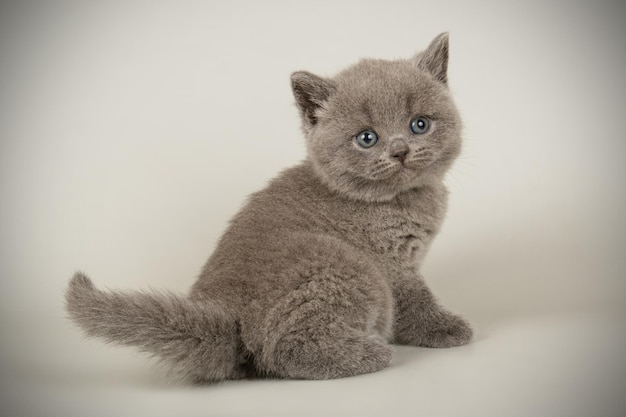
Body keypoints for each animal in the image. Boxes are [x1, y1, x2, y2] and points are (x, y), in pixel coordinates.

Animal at [66, 34, 470, 382]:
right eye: (366, 138)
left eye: (419, 124)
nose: (400, 150)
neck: (395, 198)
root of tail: (226, 322)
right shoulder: (390, 264)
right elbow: (416, 301)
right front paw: (447, 329)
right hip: (342, 264)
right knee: (286, 351)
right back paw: (371, 353)